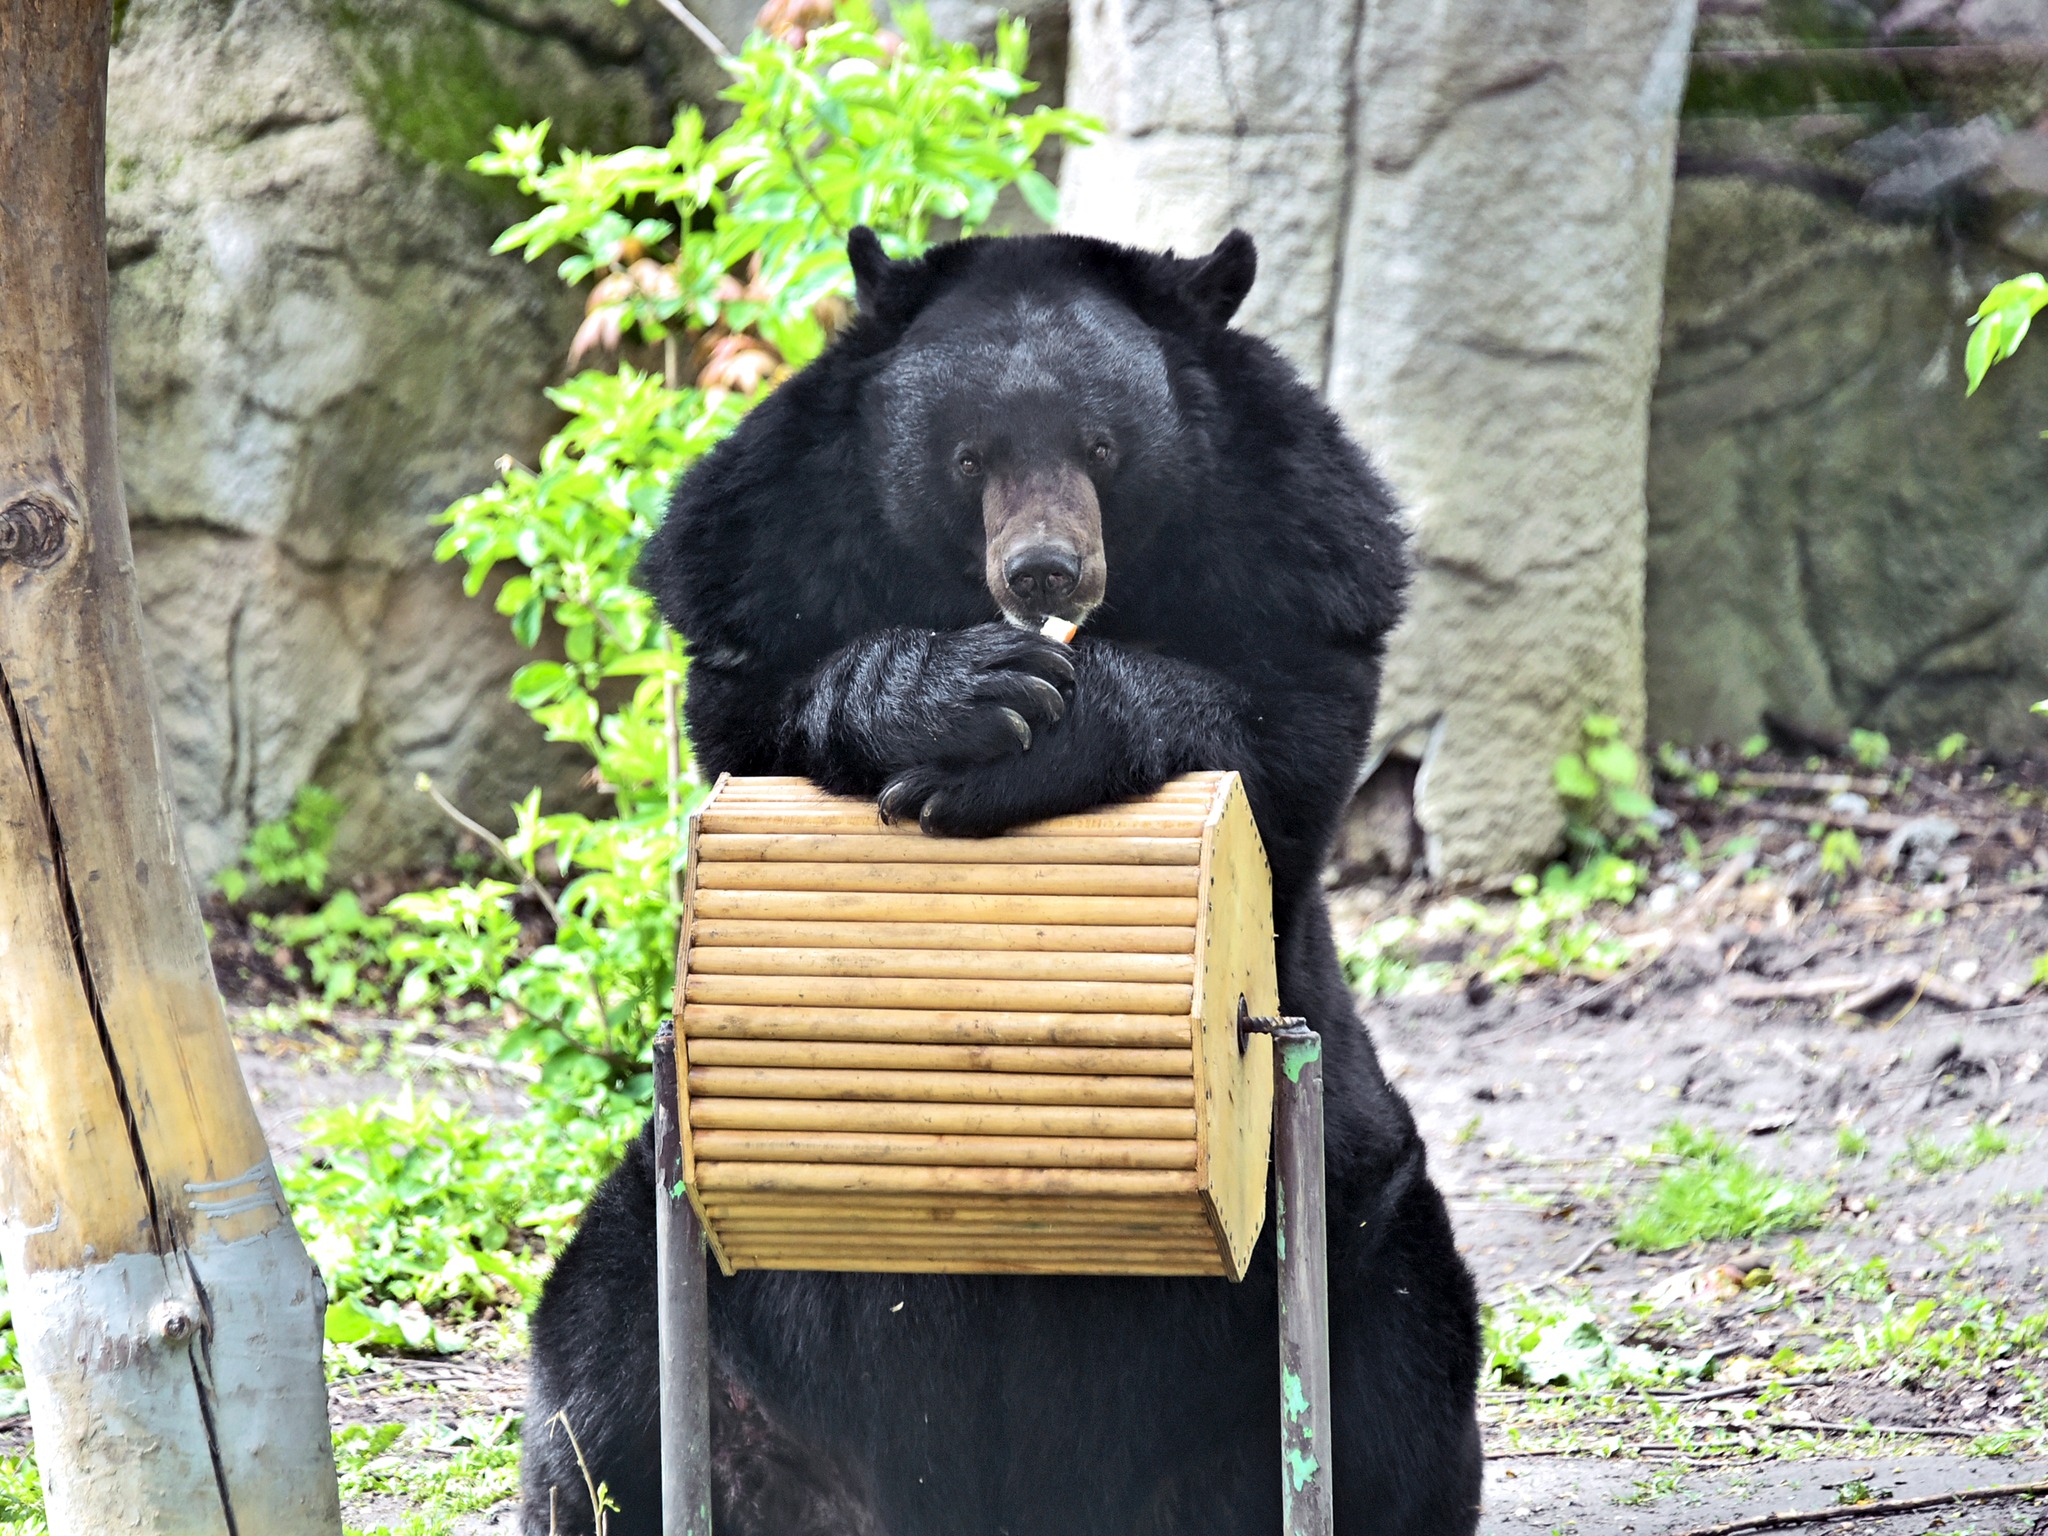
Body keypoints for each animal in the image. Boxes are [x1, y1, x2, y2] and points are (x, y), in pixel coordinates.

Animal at [524, 228, 1490, 1536]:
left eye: (1101, 444)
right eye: (967, 453)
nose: (1043, 570)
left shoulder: (1303, 572)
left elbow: (1272, 744)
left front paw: (1050, 734)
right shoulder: (762, 575)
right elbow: (764, 716)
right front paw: (952, 693)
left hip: (1340, 1236)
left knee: (1397, 1383)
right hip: (697, 1270)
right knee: (603, 1385)